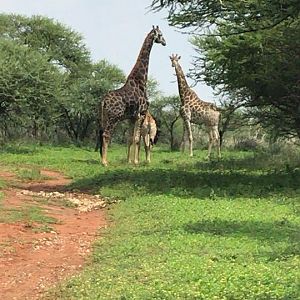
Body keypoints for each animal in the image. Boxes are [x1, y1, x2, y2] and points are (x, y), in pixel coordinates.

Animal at [99, 26, 166, 165]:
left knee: (103, 134)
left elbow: (130, 138)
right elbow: (136, 139)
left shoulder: (131, 117)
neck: (141, 81)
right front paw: (135, 162)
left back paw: (103, 159)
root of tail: (104, 101)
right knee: (106, 135)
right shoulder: (141, 114)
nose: (164, 42)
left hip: (104, 117)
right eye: (161, 34)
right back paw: (104, 162)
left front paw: (129, 161)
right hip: (114, 117)